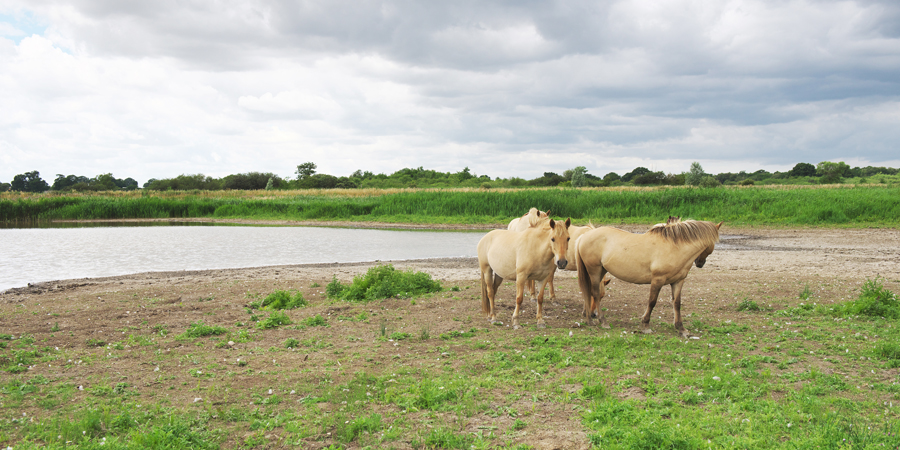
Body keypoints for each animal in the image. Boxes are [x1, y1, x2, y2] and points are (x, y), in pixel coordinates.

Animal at [576, 216, 724, 336]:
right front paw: (646, 325)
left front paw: (681, 329)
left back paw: (589, 319)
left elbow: (677, 304)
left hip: (601, 271)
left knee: (589, 293)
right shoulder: (658, 280)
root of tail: (584, 236)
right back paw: (603, 321)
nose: (700, 263)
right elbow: (652, 302)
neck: (674, 247)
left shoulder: (678, 281)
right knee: (595, 294)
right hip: (594, 271)